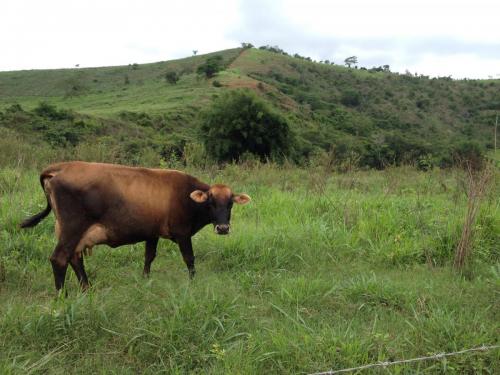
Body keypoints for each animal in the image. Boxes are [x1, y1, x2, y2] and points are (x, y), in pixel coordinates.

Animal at [20, 162, 250, 290]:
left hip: (72, 232)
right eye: (210, 202)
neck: (186, 196)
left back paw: (87, 289)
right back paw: (62, 296)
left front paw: (145, 279)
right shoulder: (183, 233)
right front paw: (193, 282)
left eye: (230, 203)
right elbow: (189, 259)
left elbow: (149, 257)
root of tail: (61, 167)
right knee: (59, 259)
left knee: (75, 259)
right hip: (72, 228)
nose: (223, 228)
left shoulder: (152, 233)